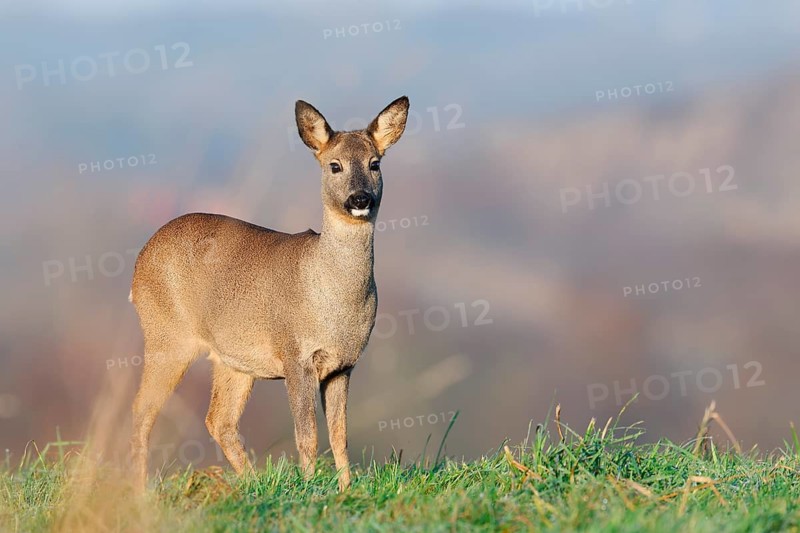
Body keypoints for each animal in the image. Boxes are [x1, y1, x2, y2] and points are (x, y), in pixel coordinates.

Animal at [128, 96, 409, 492]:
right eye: (334, 165)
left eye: (375, 163)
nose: (360, 198)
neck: (333, 295)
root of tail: (140, 260)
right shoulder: (296, 354)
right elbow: (307, 435)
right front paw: (309, 491)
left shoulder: (344, 364)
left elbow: (340, 435)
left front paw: (346, 491)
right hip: (166, 335)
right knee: (143, 410)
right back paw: (139, 492)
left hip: (232, 359)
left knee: (219, 420)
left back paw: (249, 483)